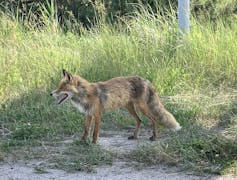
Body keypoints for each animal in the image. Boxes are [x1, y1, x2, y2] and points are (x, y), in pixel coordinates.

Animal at [50, 69, 181, 144]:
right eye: (58, 87)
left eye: (61, 88)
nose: (51, 93)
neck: (86, 94)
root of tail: (146, 80)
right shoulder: (89, 114)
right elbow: (86, 129)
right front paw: (82, 141)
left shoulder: (97, 114)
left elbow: (95, 132)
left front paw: (94, 143)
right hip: (129, 108)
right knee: (139, 120)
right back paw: (135, 136)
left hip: (142, 107)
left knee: (153, 119)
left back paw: (154, 137)